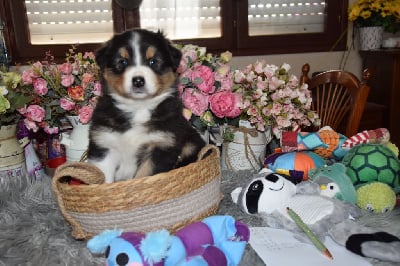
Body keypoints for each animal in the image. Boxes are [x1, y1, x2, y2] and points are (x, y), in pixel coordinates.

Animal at [88, 29, 205, 183]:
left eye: (153, 61)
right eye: (122, 61)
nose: (138, 81)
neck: (138, 107)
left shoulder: (161, 145)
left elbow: (144, 175)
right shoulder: (104, 144)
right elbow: (105, 180)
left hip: (190, 144)